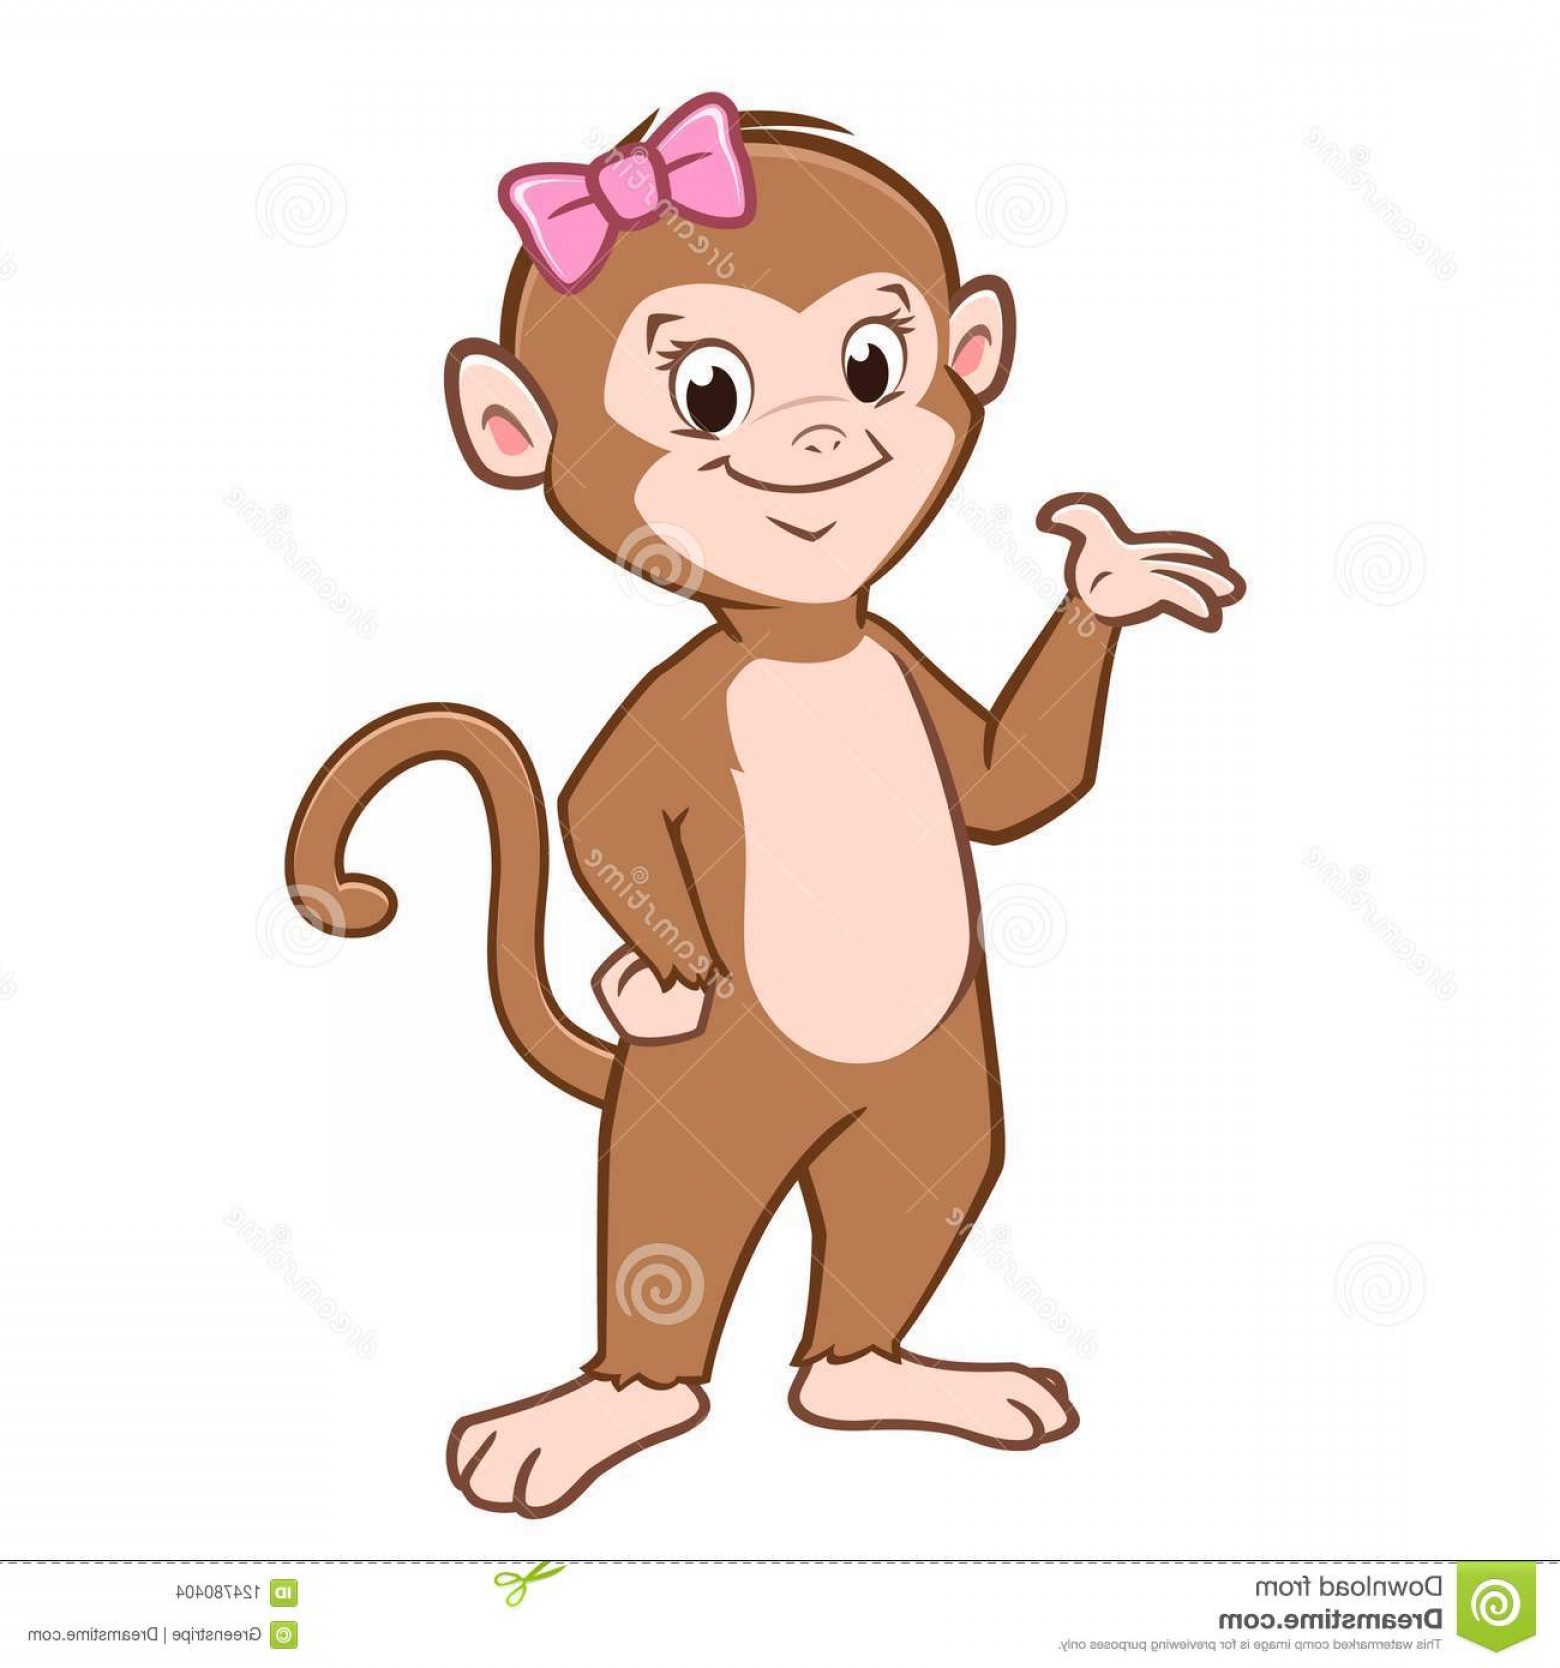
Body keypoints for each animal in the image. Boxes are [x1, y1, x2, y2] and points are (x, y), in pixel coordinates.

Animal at [286, 93, 1245, 1519]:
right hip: (702, 1106)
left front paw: (1112, 576)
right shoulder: (669, 714)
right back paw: (608, 1404)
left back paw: (879, 1379)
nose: (821, 438)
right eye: (708, 392)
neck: (804, 640)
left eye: (870, 364)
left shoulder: (901, 662)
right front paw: (663, 971)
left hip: (928, 1108)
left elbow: (1009, 787)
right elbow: (601, 820)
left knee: (909, 1209)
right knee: (667, 1239)